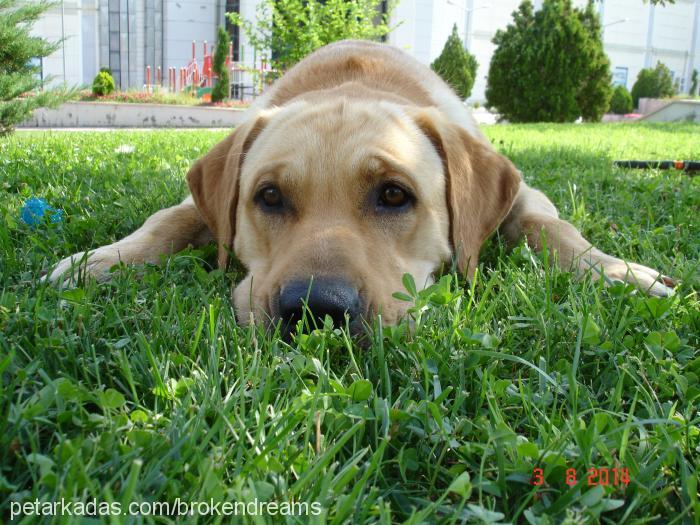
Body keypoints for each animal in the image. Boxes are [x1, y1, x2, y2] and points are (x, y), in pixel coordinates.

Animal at [47, 41, 672, 336]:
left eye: (394, 195)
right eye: (268, 196)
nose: (317, 310)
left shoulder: (523, 193)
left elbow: (554, 228)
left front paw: (620, 273)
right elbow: (166, 220)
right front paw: (100, 260)